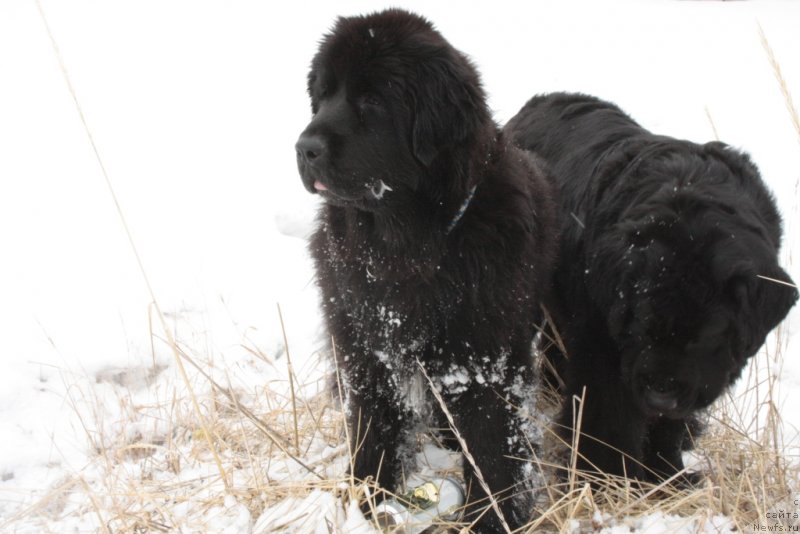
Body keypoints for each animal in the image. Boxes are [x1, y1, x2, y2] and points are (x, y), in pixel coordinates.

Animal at [296, 8, 556, 534]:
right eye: (323, 94)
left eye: (373, 99)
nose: (305, 146)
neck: (405, 247)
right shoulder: (365, 348)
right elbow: (371, 432)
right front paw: (362, 503)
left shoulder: (484, 359)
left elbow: (493, 451)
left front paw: (493, 518)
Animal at [504, 94, 796, 488]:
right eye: (643, 325)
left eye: (706, 337)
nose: (661, 392)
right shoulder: (603, 351)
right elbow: (607, 422)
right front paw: (605, 483)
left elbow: (666, 429)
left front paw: (667, 476)